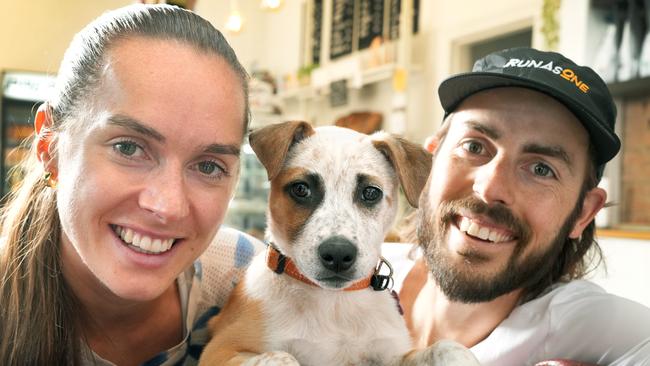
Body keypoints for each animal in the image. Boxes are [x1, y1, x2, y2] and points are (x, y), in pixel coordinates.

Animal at [197, 121, 476, 364]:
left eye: (371, 192)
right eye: (301, 189)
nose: (338, 255)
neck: (334, 304)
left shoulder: (391, 354)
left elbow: (446, 347)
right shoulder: (221, 349)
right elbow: (283, 357)